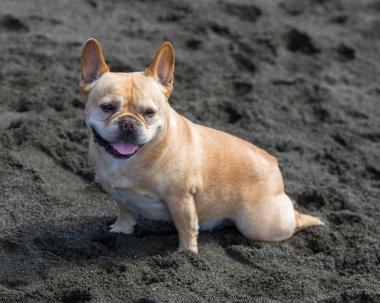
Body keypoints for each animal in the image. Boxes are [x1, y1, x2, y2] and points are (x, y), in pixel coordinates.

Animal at [80, 39, 324, 255]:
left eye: (149, 112)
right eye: (107, 107)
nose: (128, 123)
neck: (129, 161)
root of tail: (274, 165)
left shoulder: (181, 200)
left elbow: (186, 228)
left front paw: (187, 254)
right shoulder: (117, 194)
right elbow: (125, 212)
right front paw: (122, 230)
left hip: (262, 225)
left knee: (292, 221)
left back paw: (311, 220)